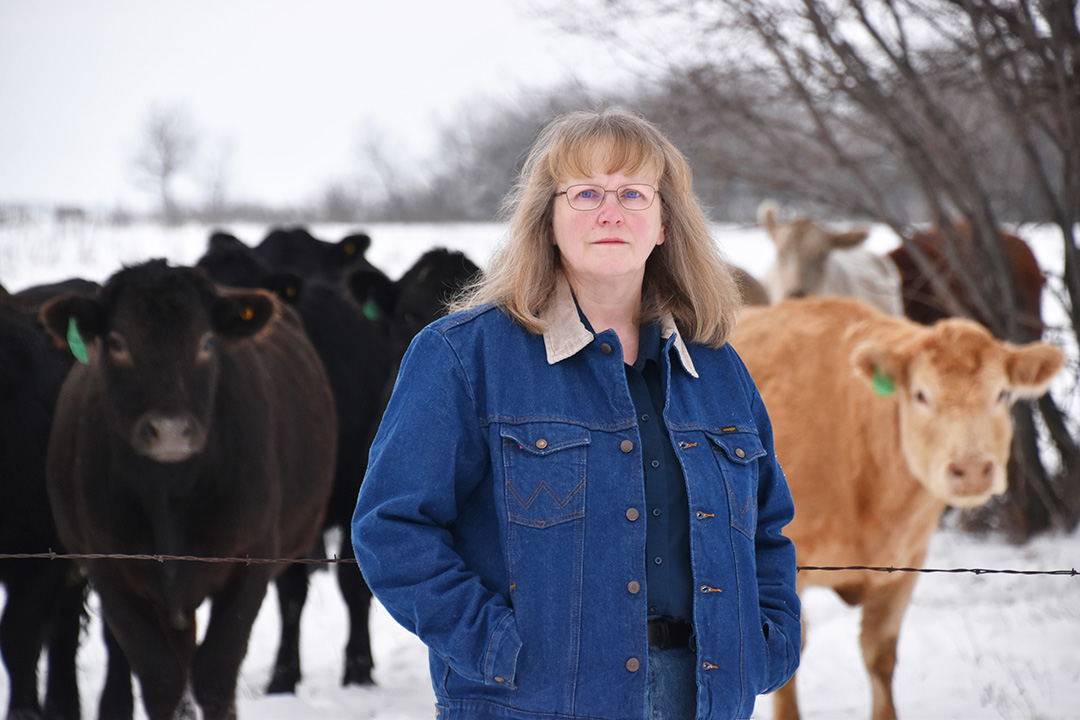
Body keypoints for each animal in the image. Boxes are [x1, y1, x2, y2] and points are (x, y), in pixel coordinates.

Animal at [41, 260, 336, 720]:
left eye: (208, 341)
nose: (170, 431)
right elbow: (161, 678)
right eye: (117, 342)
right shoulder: (110, 567)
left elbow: (216, 672)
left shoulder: (251, 555)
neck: (170, 493)